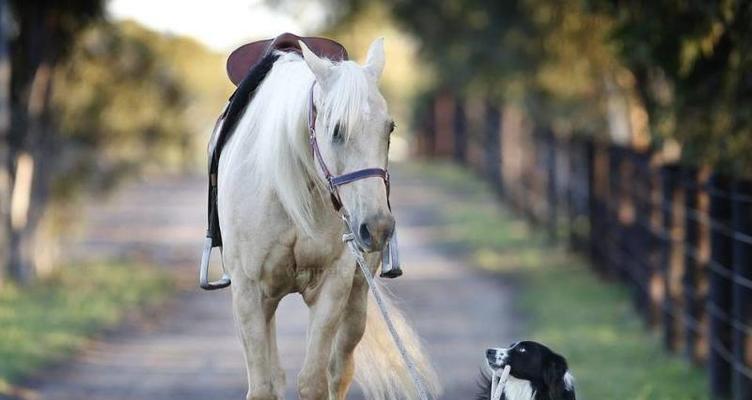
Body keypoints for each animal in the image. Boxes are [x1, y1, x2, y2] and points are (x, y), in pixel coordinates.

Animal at [216, 38, 440, 400]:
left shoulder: (334, 285)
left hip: (358, 298)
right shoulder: (248, 293)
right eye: (336, 130)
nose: (377, 227)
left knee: (340, 371)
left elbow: (314, 382)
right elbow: (264, 387)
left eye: (390, 128)